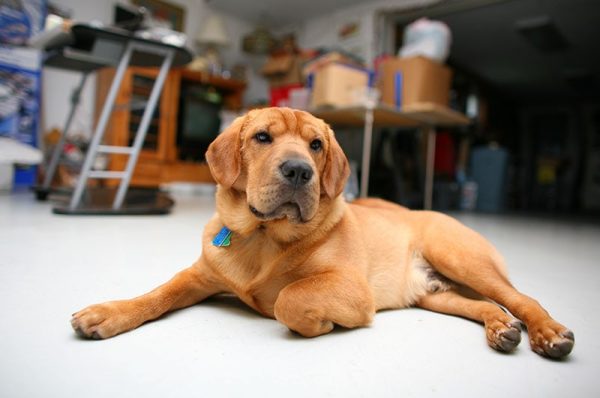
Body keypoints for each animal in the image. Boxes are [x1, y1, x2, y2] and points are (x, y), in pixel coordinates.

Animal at [72, 107, 576, 360]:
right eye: (262, 137)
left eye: (316, 145)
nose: (299, 171)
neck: (262, 236)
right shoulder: (199, 277)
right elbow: (156, 294)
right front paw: (109, 312)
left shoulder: (349, 286)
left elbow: (289, 298)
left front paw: (317, 322)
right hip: (437, 295)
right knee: (489, 305)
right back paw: (501, 328)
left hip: (460, 257)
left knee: (522, 299)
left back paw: (548, 333)